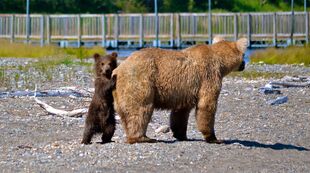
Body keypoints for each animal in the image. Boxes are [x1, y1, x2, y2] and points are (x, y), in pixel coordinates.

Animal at [111, 37, 247, 144]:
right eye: (244, 55)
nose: (244, 64)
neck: (220, 63)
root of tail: (118, 69)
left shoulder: (185, 90)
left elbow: (180, 112)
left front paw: (181, 134)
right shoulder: (208, 76)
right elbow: (207, 105)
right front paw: (214, 138)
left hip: (119, 92)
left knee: (125, 113)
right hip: (140, 80)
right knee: (140, 109)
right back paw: (143, 137)